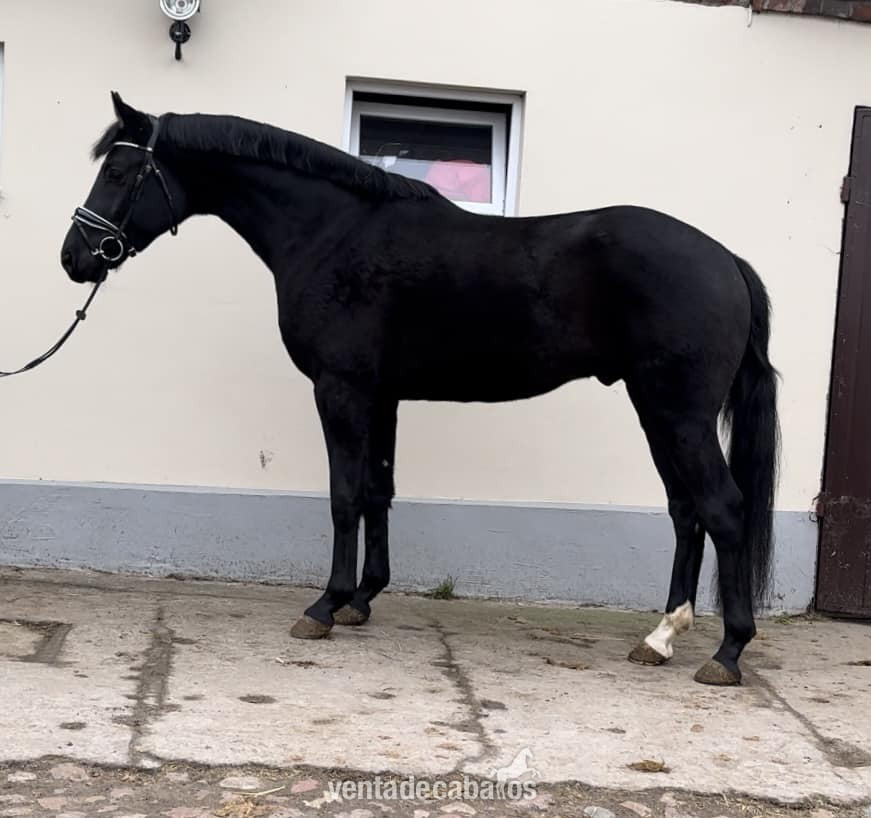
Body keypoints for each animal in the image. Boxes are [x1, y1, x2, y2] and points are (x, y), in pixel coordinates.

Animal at [60, 92, 779, 686]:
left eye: (119, 172)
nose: (76, 257)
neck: (330, 230)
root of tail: (725, 260)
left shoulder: (341, 390)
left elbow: (345, 496)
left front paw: (324, 606)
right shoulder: (381, 396)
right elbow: (378, 490)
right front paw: (361, 599)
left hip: (675, 412)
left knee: (721, 509)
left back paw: (726, 654)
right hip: (658, 411)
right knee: (686, 513)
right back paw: (660, 637)